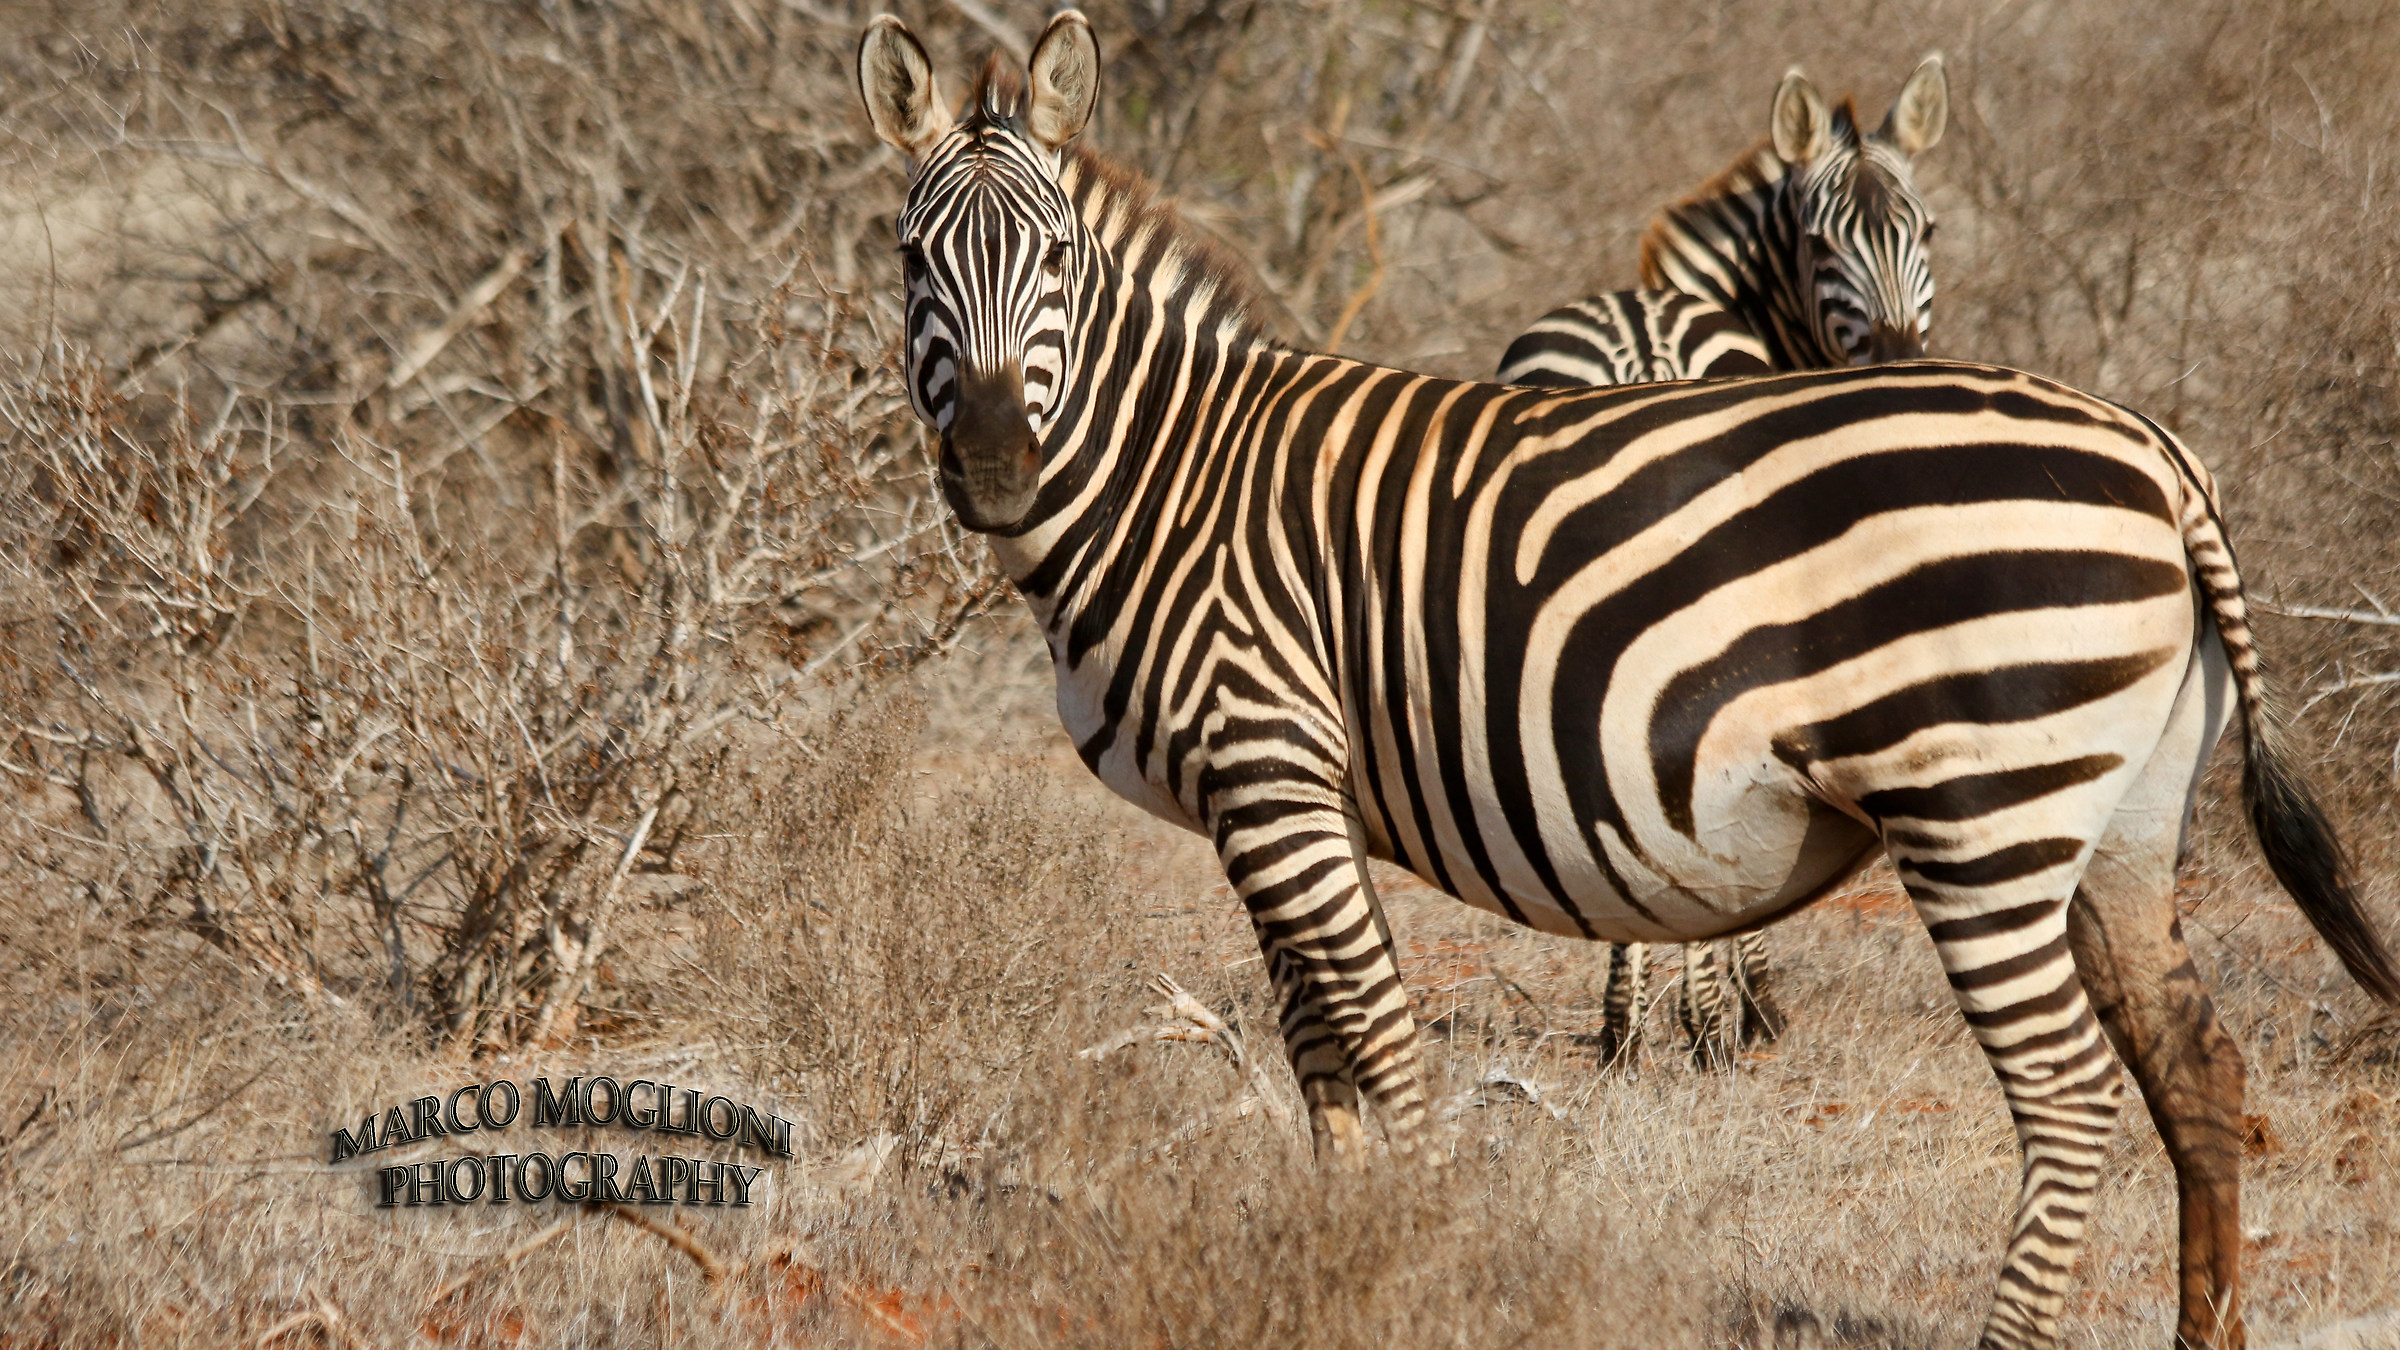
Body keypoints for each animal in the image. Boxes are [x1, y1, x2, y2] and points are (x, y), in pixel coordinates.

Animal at [1497, 57, 1946, 1070]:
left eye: (1926, 230)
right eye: (1819, 243)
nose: (1900, 358)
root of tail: (1646, 348)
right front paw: (1754, 1003)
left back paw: (1629, 1030)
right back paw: (1697, 1026)